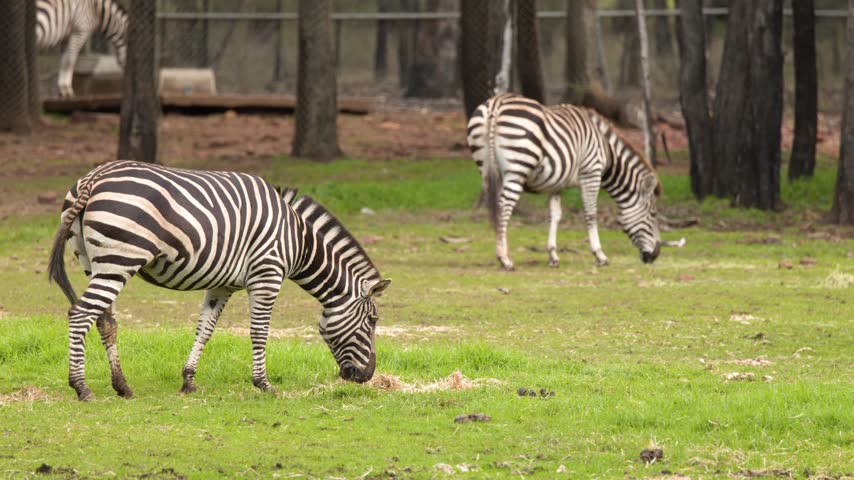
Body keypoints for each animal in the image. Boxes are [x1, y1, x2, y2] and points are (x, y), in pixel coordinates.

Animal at [48, 160, 391, 401]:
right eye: (372, 320)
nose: (366, 376)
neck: (298, 241)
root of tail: (94, 178)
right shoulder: (267, 275)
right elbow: (259, 332)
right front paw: (264, 384)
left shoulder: (221, 284)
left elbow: (205, 329)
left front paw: (188, 380)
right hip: (119, 259)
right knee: (80, 314)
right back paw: (82, 388)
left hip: (95, 262)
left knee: (105, 321)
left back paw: (123, 387)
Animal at [466, 93, 662, 270]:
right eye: (652, 214)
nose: (655, 255)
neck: (606, 151)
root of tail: (496, 103)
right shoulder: (591, 173)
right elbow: (591, 214)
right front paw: (600, 256)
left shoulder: (555, 183)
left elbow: (555, 215)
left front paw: (553, 256)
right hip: (517, 169)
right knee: (504, 207)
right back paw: (504, 259)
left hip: (486, 169)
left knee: (494, 207)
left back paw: (504, 254)